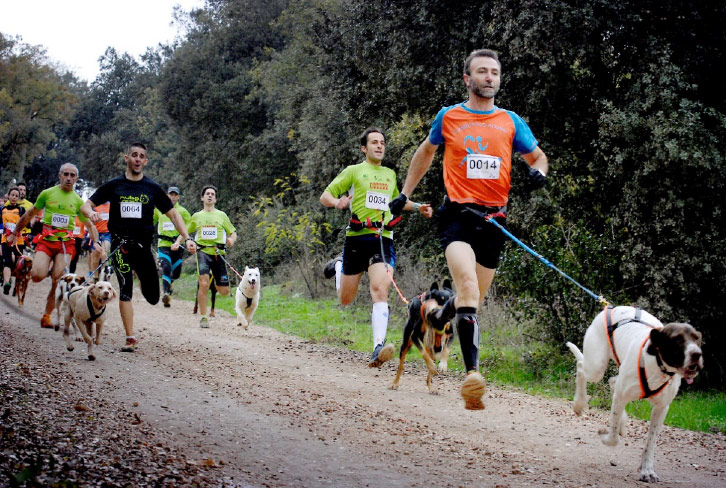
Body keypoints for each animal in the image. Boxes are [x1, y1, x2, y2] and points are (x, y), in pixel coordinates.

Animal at [568, 306, 704, 482]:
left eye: (697, 338)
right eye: (677, 339)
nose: (697, 354)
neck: (658, 366)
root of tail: (610, 307)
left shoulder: (661, 408)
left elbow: (650, 443)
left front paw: (647, 470)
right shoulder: (622, 396)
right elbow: (613, 438)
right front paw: (605, 436)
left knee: (612, 382)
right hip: (596, 367)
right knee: (580, 367)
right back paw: (579, 403)